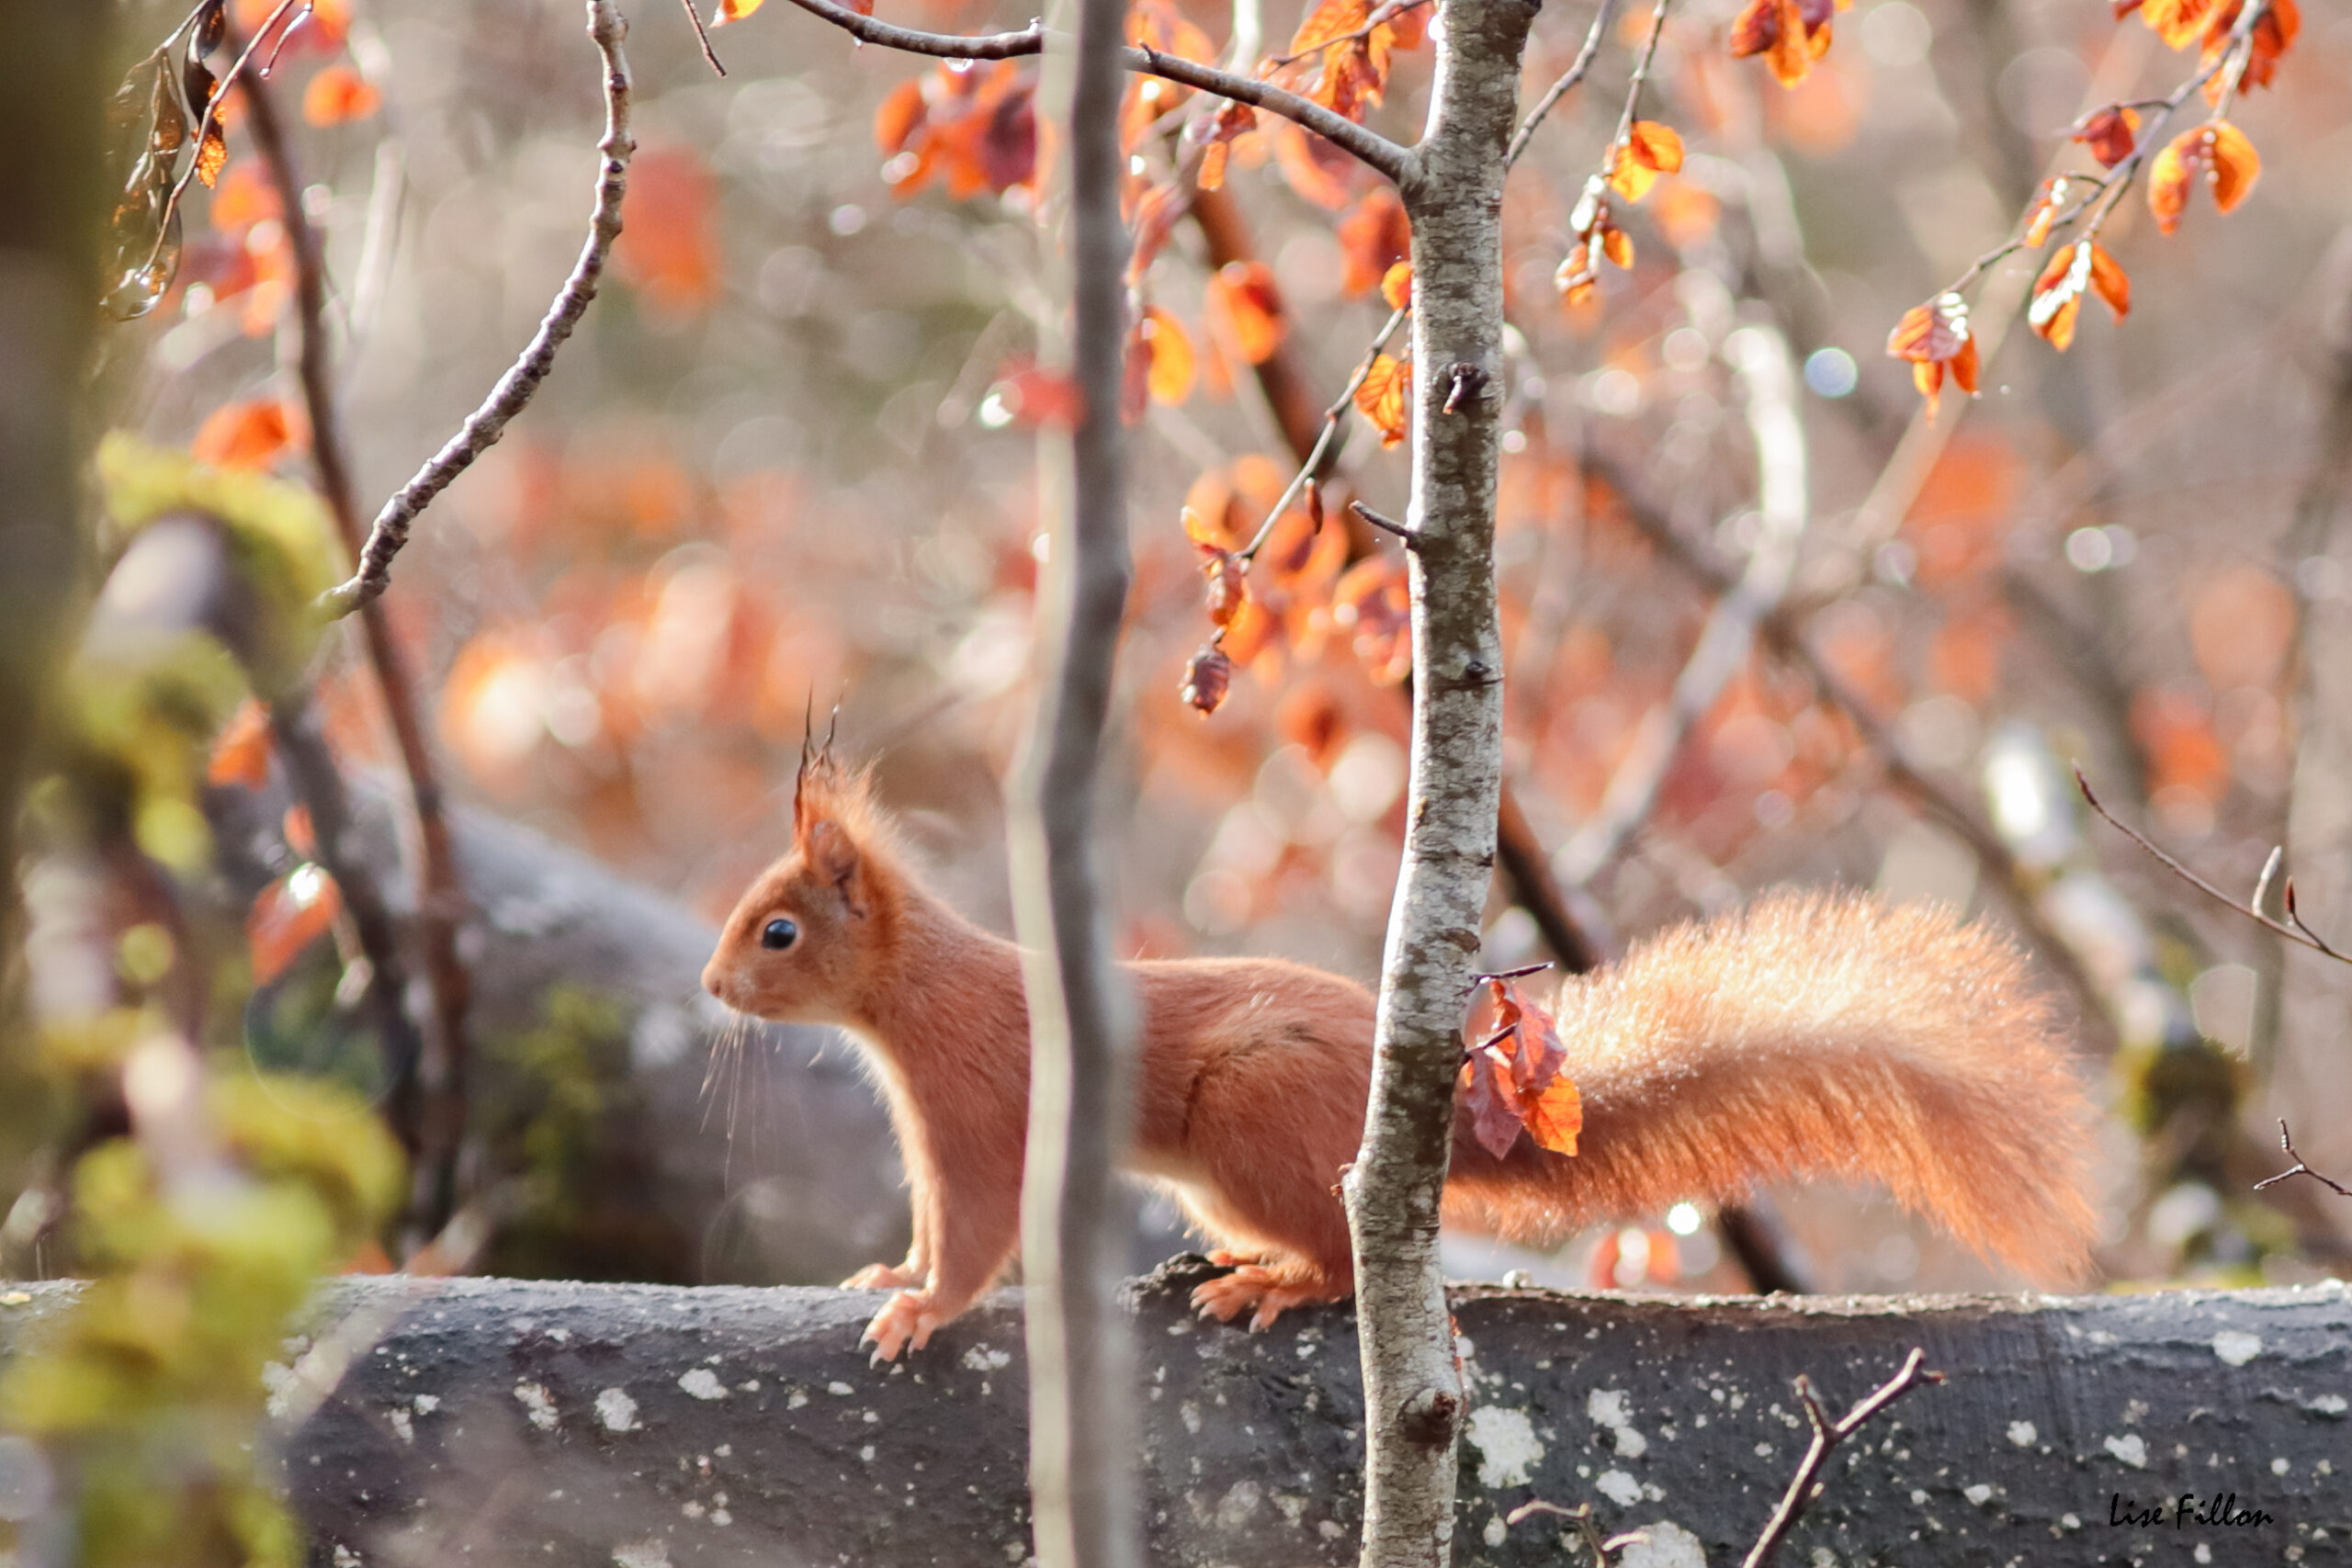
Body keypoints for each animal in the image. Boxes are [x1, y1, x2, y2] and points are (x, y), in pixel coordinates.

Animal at [695, 751, 2098, 1354]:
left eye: (779, 929)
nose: (708, 984)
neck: (918, 993)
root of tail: (1428, 1124)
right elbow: (936, 1222)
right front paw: (893, 1270)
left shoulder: (978, 1105)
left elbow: (980, 1231)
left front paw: (924, 1307)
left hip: (1252, 1123)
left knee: (1338, 1257)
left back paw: (1272, 1286)